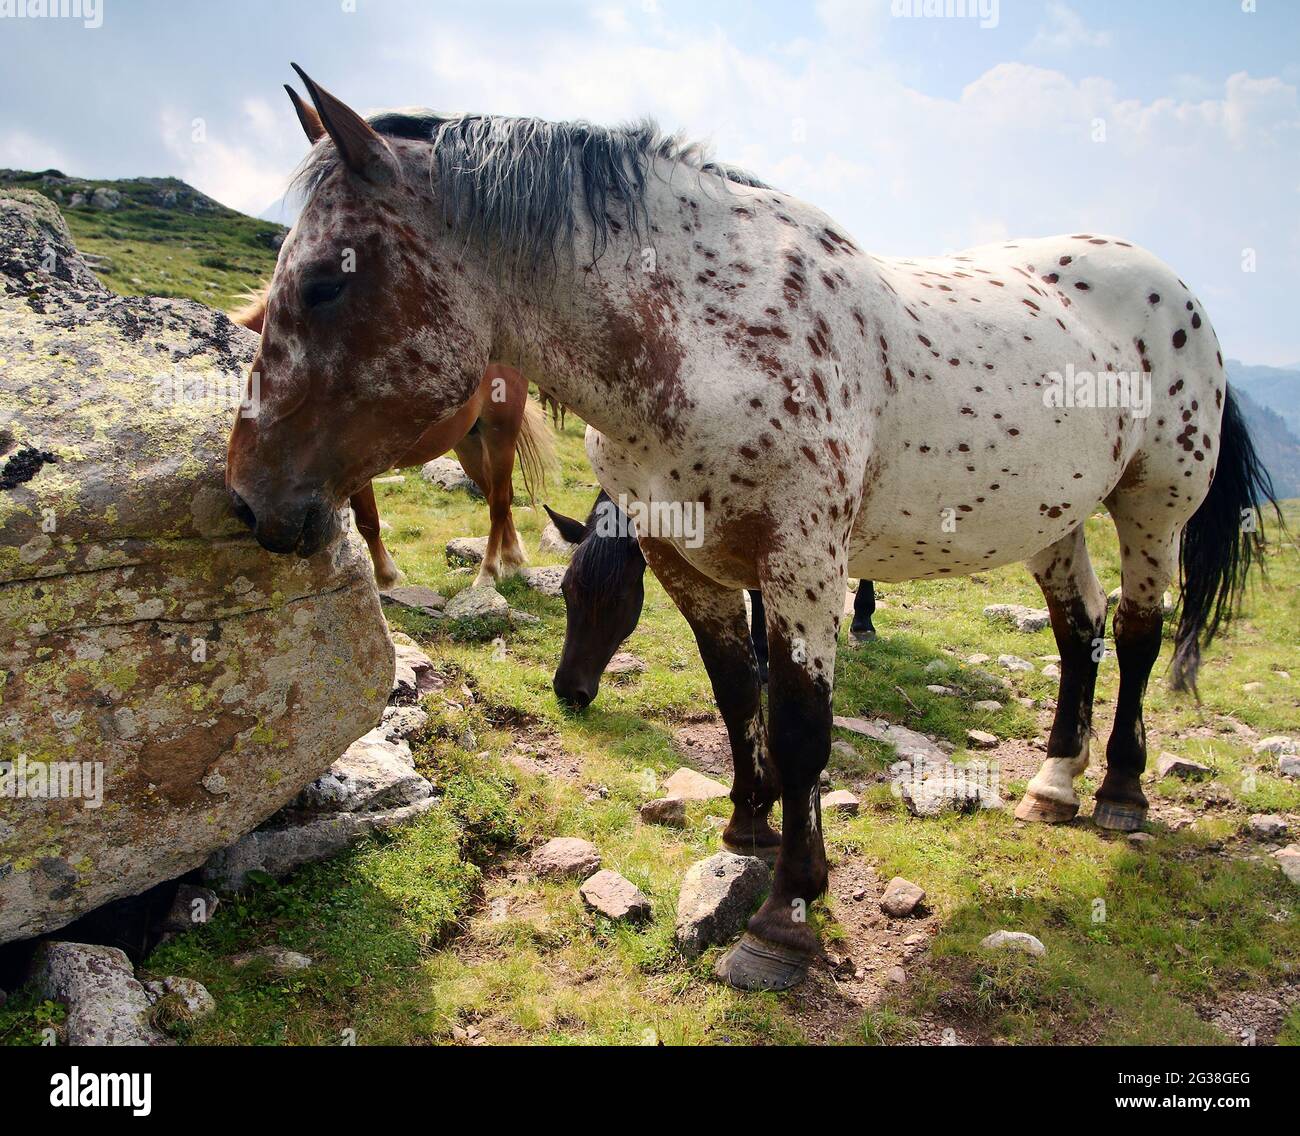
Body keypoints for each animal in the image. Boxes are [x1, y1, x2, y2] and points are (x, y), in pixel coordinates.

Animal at [231, 292, 551, 590]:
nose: (246, 508)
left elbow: (367, 520)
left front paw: (386, 578)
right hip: (469, 444)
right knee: (499, 494)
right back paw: (512, 557)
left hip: (501, 433)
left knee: (499, 502)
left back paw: (488, 572)